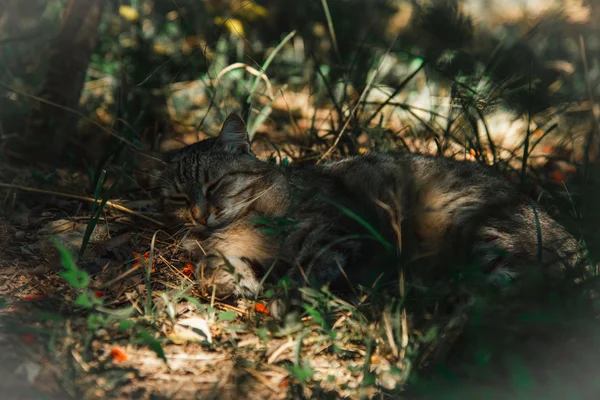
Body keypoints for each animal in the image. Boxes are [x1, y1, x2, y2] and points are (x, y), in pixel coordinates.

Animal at [157, 114, 588, 302]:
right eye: (179, 198)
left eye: (214, 184)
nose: (200, 214)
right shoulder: (224, 250)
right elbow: (216, 264)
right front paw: (233, 281)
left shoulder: (337, 226)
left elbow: (311, 263)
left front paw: (290, 293)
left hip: (474, 225)